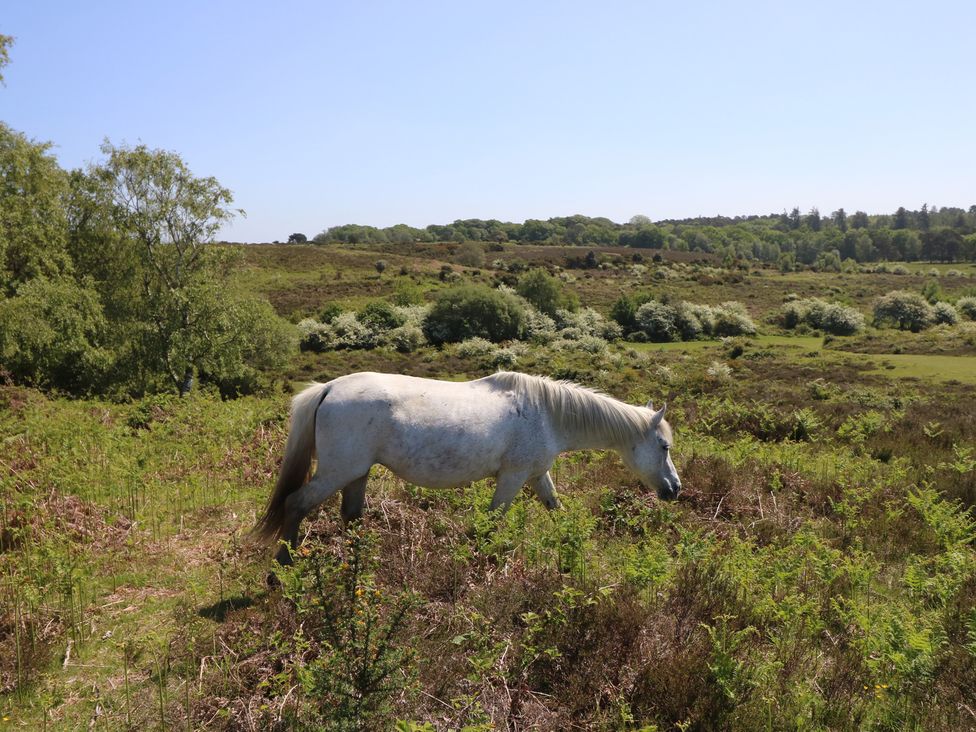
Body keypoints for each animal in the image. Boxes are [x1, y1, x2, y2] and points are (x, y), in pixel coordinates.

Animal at [254, 371, 681, 565]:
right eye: (664, 446)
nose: (674, 489)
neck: (548, 415)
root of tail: (328, 388)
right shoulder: (512, 478)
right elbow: (491, 522)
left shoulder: (536, 475)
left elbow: (555, 509)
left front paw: (574, 547)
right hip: (336, 472)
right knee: (296, 504)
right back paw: (284, 565)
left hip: (357, 473)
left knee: (351, 515)